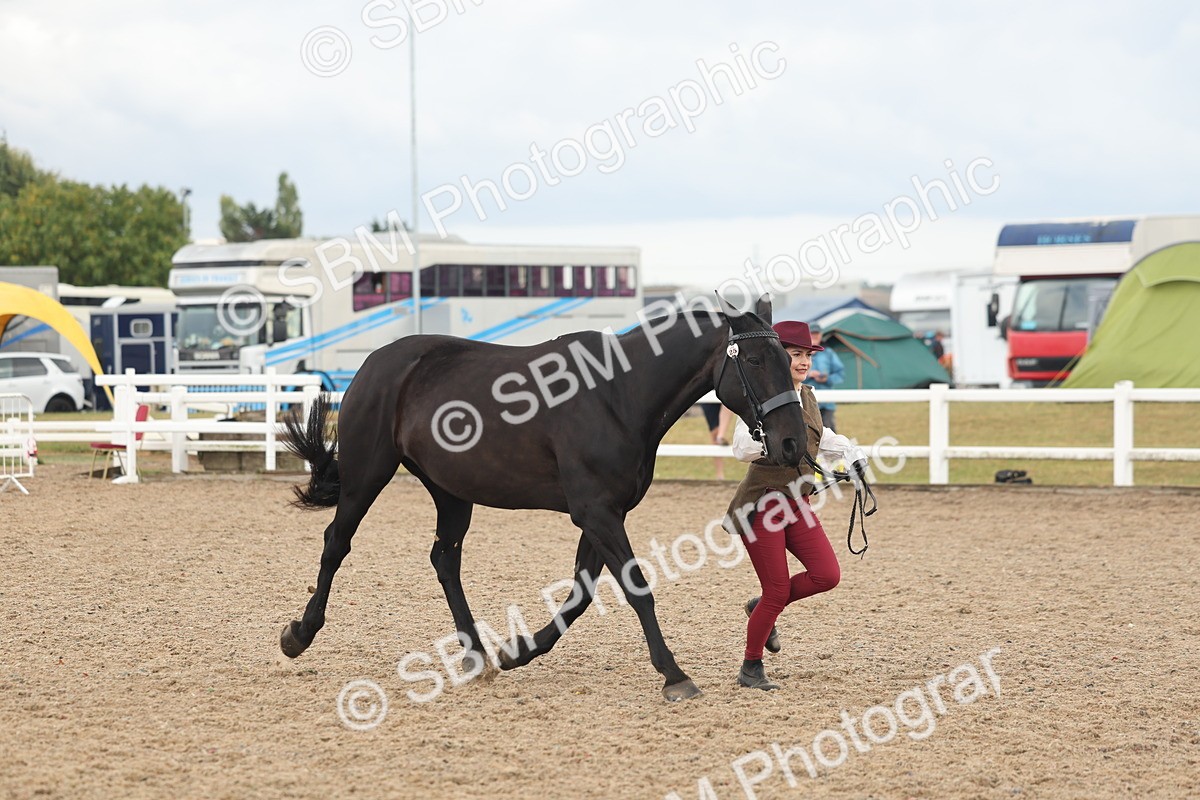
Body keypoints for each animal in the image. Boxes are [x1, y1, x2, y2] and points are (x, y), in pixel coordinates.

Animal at [279, 294, 808, 701]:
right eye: (756, 361)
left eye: (790, 362)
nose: (791, 443)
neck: (618, 395)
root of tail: (375, 362)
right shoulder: (597, 512)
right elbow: (635, 587)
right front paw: (675, 675)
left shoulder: (602, 514)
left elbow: (580, 594)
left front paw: (518, 651)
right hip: (367, 475)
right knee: (336, 543)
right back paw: (299, 634)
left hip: (451, 493)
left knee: (445, 559)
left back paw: (477, 654)